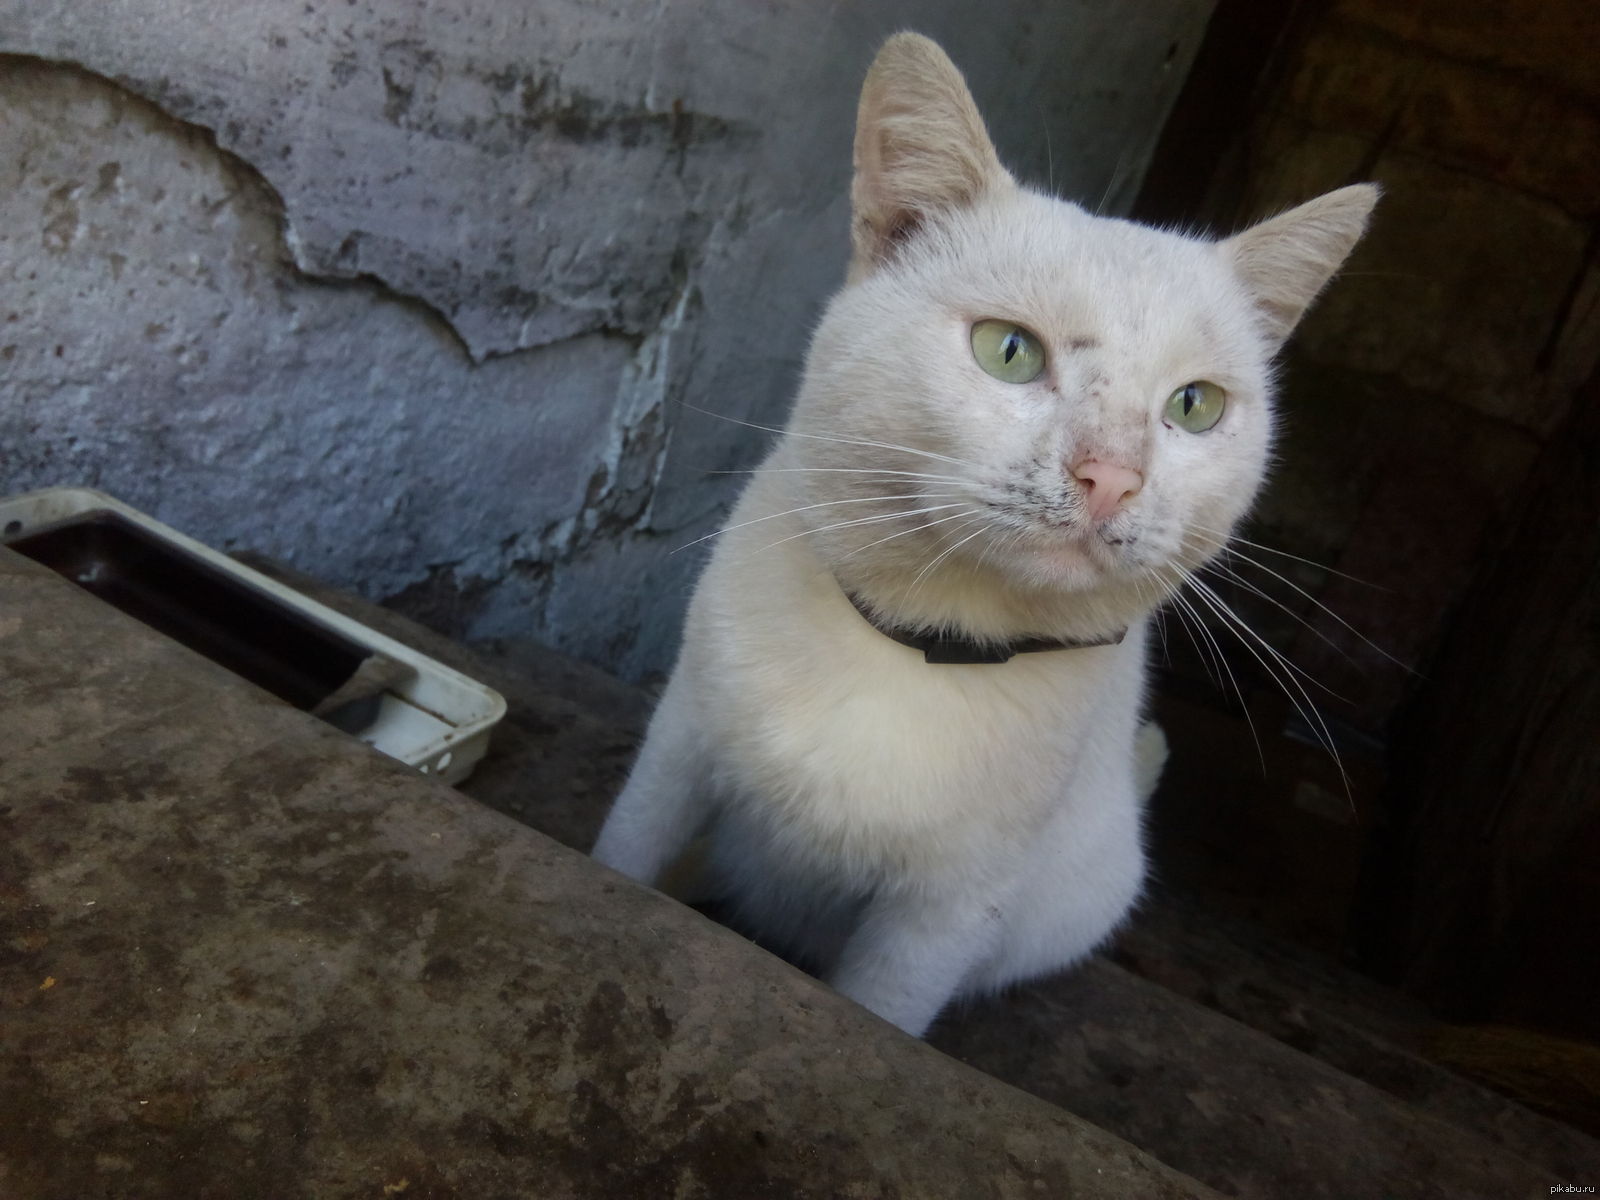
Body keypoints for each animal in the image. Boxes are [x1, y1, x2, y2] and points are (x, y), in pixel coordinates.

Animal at [592, 32, 1376, 1036]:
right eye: (1009, 350)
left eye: (1195, 407)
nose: (1112, 476)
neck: (920, 647)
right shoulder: (678, 751)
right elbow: (625, 857)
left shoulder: (954, 910)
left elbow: (886, 1011)